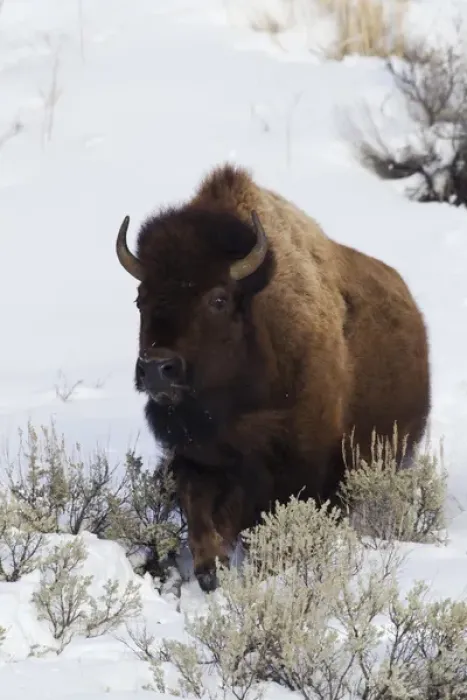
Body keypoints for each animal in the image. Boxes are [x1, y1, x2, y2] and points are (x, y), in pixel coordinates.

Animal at [115, 163, 431, 592]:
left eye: (218, 298)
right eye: (140, 298)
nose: (156, 369)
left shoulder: (292, 467)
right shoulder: (197, 457)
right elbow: (200, 510)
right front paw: (208, 569)